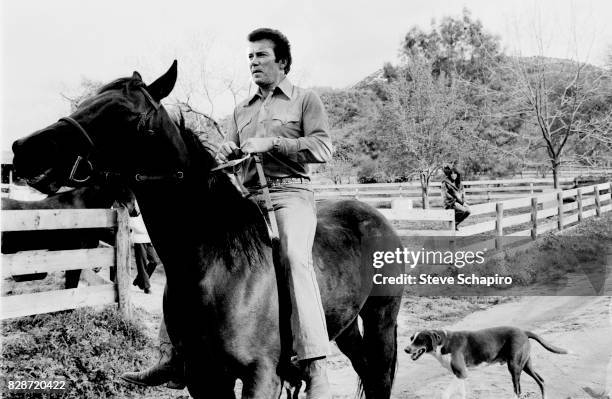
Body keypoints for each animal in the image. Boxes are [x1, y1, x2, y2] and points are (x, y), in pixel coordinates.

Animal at [11, 61, 404, 398]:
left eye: (126, 114)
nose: (25, 148)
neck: (218, 264)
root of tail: (376, 217)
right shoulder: (203, 376)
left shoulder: (261, 376)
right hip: (347, 326)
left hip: (381, 321)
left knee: (379, 377)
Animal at [406, 328, 568, 399]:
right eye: (411, 338)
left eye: (420, 340)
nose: (405, 349)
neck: (444, 342)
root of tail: (524, 332)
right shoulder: (460, 375)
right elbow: (462, 393)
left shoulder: (461, 373)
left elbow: (445, 393)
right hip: (525, 365)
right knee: (541, 381)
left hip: (514, 367)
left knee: (517, 390)